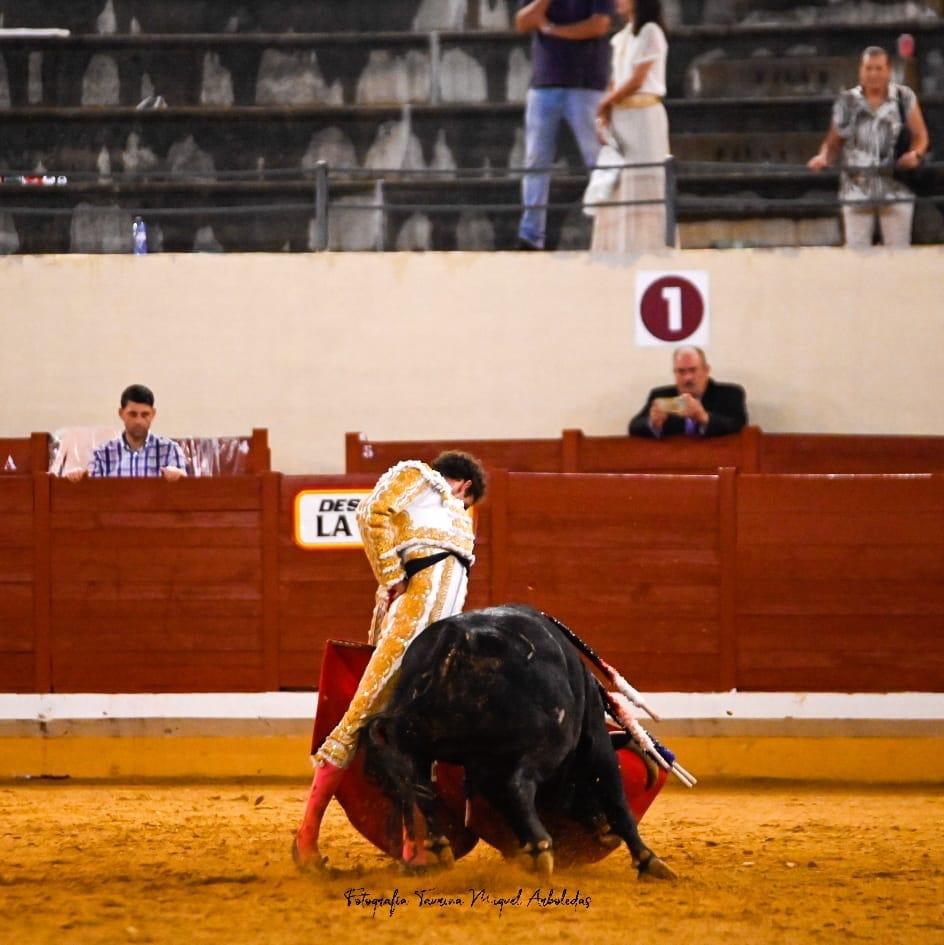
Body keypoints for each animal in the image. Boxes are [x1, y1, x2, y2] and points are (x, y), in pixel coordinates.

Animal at [358, 604, 676, 876]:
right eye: (586, 786)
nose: (605, 834)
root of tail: (455, 641)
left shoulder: (482, 766)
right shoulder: (596, 738)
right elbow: (618, 800)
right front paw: (650, 862)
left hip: (419, 743)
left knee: (419, 785)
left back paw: (439, 847)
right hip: (547, 744)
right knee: (518, 785)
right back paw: (539, 847)